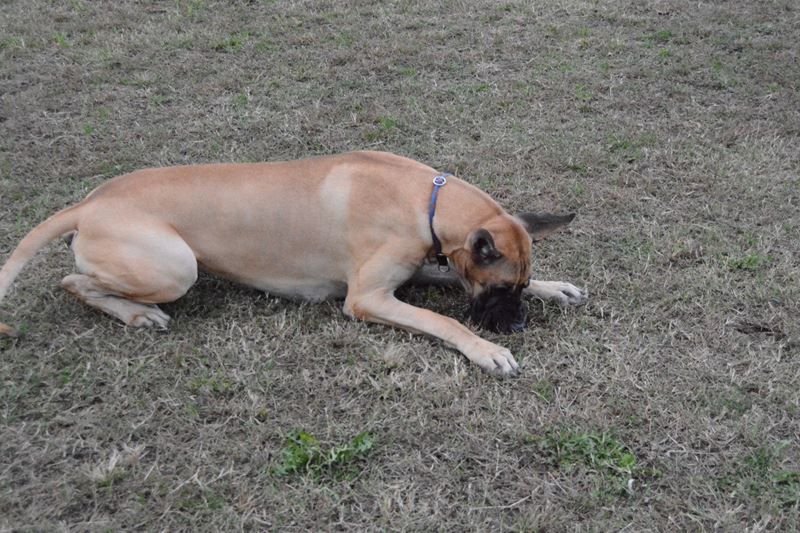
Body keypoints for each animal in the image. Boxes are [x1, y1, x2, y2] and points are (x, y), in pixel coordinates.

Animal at [0, 151, 587, 376]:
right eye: (499, 289)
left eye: (519, 285)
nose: (517, 326)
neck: (426, 200)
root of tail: (88, 203)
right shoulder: (367, 297)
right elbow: (444, 320)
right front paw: (487, 350)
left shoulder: (417, 266)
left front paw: (554, 288)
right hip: (175, 267)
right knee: (71, 279)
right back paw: (136, 314)